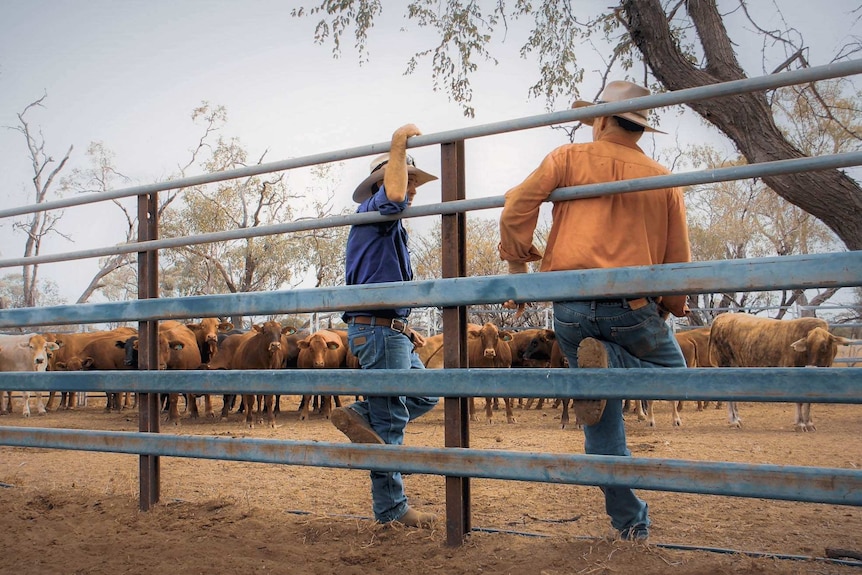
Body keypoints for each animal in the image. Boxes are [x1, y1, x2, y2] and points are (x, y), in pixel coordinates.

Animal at [708, 316, 852, 432]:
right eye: (807, 345)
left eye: (824, 346)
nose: (810, 367)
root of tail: (721, 317)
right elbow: (800, 402)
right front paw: (800, 424)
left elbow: (808, 402)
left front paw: (809, 423)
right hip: (726, 365)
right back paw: (733, 421)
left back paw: (737, 419)